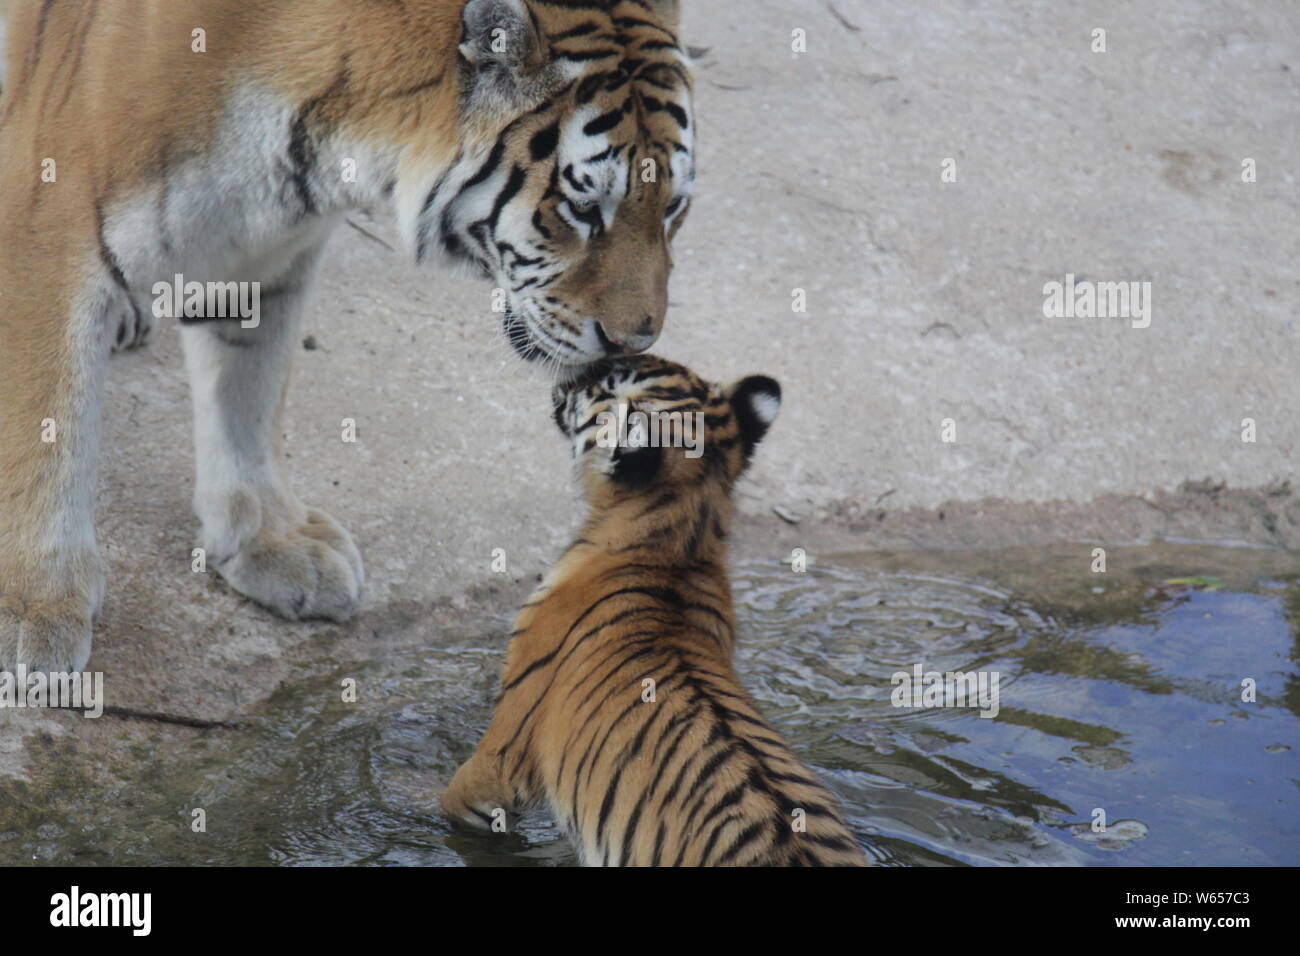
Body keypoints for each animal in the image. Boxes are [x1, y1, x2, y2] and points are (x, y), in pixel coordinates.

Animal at [0, 0, 694, 672]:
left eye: (672, 207)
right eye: (583, 210)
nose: (633, 339)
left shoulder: (265, 251)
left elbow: (248, 392)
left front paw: (270, 540)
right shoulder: (49, 227)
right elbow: (49, 432)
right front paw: (32, 607)